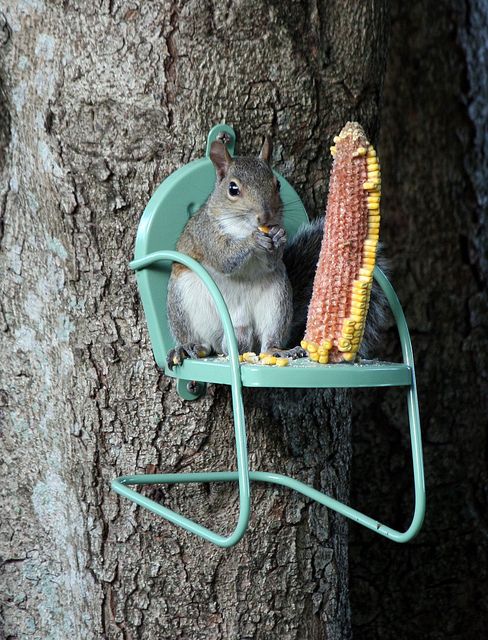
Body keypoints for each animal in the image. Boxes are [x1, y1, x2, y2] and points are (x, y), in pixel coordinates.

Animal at [168, 140, 388, 370]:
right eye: (233, 189)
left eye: (278, 184)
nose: (265, 217)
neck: (242, 227)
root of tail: (238, 333)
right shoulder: (207, 235)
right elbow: (224, 258)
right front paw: (253, 240)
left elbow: (272, 262)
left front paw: (279, 237)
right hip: (184, 298)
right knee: (202, 342)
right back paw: (189, 346)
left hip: (277, 300)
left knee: (267, 343)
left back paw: (279, 350)